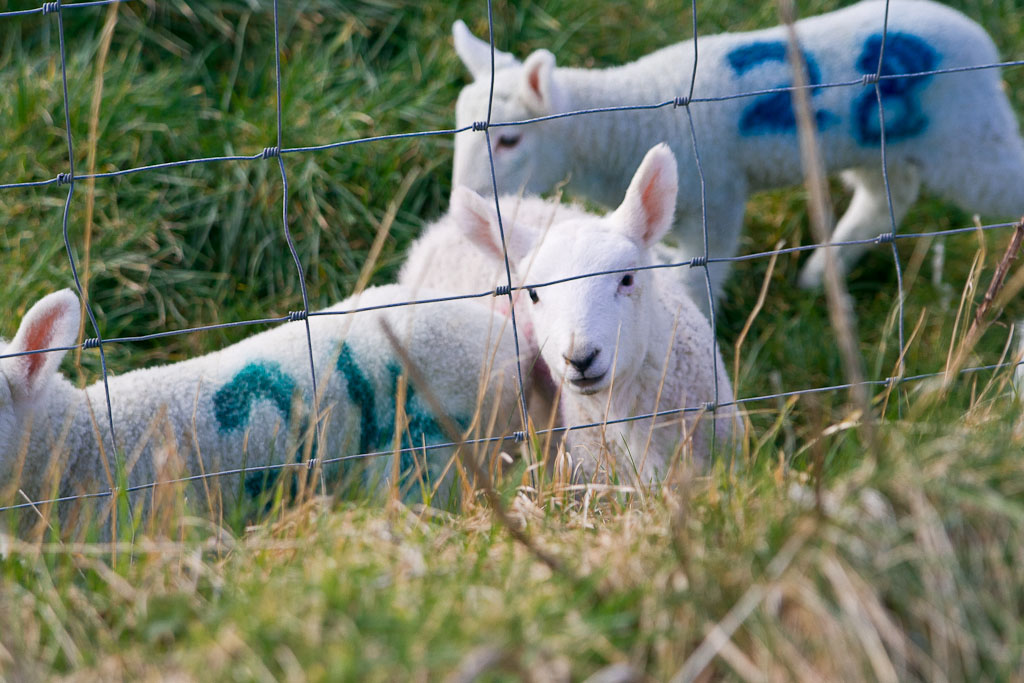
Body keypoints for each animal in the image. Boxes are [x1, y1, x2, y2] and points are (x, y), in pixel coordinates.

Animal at [451, 0, 1024, 304]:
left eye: (509, 140)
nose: (464, 199)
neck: (623, 122)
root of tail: (980, 39)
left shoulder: (718, 200)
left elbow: (698, 274)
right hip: (875, 145)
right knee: (886, 200)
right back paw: (821, 275)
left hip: (970, 140)